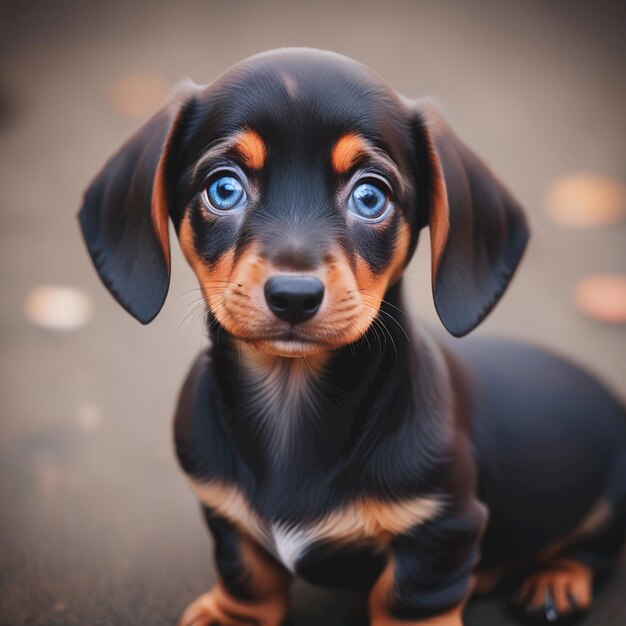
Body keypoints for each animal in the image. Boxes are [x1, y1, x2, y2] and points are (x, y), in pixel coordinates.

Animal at [79, 48, 624, 624]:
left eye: (370, 196)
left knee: (594, 548)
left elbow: (407, 599)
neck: (292, 408)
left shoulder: (441, 531)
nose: (294, 296)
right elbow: (247, 574)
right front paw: (233, 616)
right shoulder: (223, 510)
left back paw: (556, 578)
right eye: (223, 188)